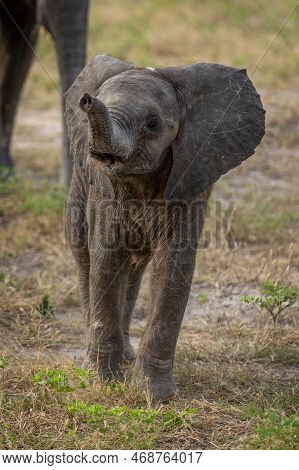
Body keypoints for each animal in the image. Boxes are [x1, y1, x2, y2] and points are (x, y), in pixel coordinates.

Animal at [64, 55, 266, 400]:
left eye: (153, 124)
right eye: (88, 104)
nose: (87, 100)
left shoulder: (192, 177)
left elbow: (174, 265)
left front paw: (157, 396)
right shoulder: (102, 188)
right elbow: (106, 259)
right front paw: (106, 383)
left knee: (135, 269)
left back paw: (127, 357)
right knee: (85, 257)